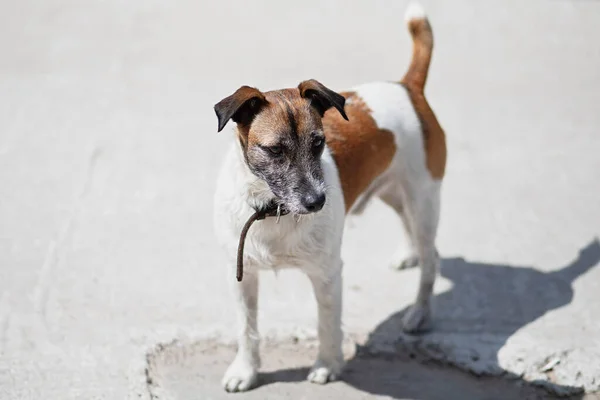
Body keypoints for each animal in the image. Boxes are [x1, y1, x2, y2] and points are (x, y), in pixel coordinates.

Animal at [212, 2, 446, 390]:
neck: (272, 209)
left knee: (431, 257)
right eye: (275, 150)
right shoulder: (243, 276)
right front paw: (245, 370)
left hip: (424, 198)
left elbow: (326, 324)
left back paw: (420, 312)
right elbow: (247, 329)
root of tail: (408, 87)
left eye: (319, 143)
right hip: (394, 191)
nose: (317, 203)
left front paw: (328, 365)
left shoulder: (327, 274)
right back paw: (407, 255)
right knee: (406, 222)